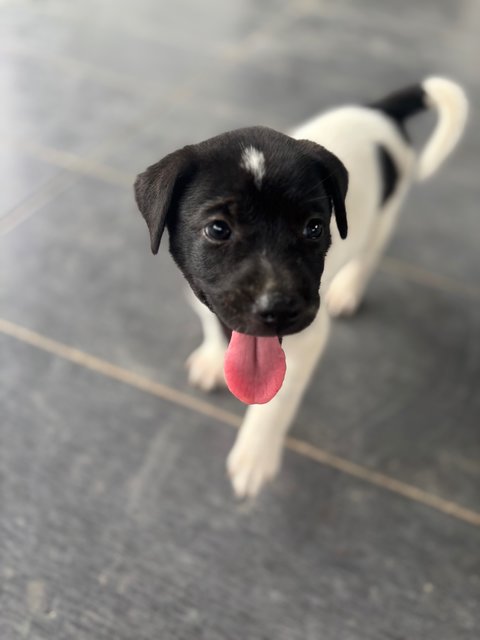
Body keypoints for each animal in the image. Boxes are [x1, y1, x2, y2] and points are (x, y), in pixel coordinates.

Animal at [133, 76, 466, 500]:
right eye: (218, 229)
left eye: (314, 228)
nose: (278, 308)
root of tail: (376, 110)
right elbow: (212, 325)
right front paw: (213, 357)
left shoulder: (307, 341)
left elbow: (276, 402)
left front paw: (255, 456)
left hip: (384, 217)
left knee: (369, 256)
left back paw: (348, 290)